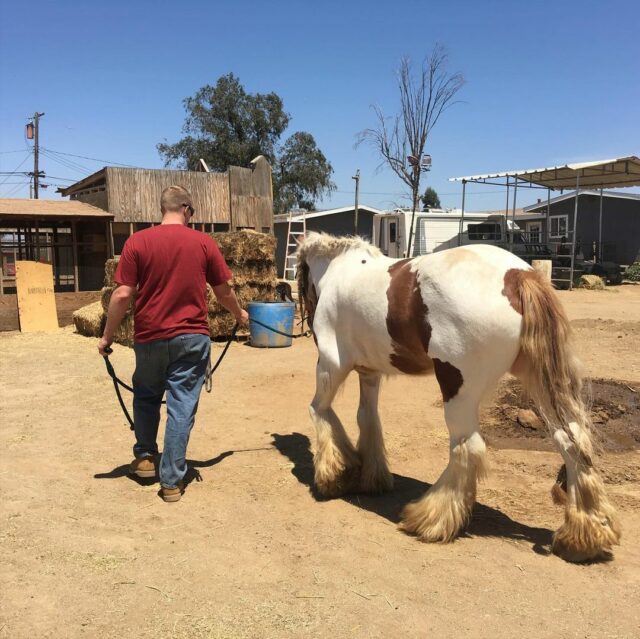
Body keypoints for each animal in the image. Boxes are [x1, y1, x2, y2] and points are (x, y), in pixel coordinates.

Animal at [298, 232, 620, 564]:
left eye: (299, 277)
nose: (305, 320)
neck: (342, 270)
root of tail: (519, 276)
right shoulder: (370, 373)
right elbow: (368, 419)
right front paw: (370, 477)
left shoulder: (331, 365)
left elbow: (319, 411)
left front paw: (333, 476)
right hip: (540, 382)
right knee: (572, 442)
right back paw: (582, 536)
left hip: (457, 388)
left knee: (468, 448)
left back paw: (430, 519)